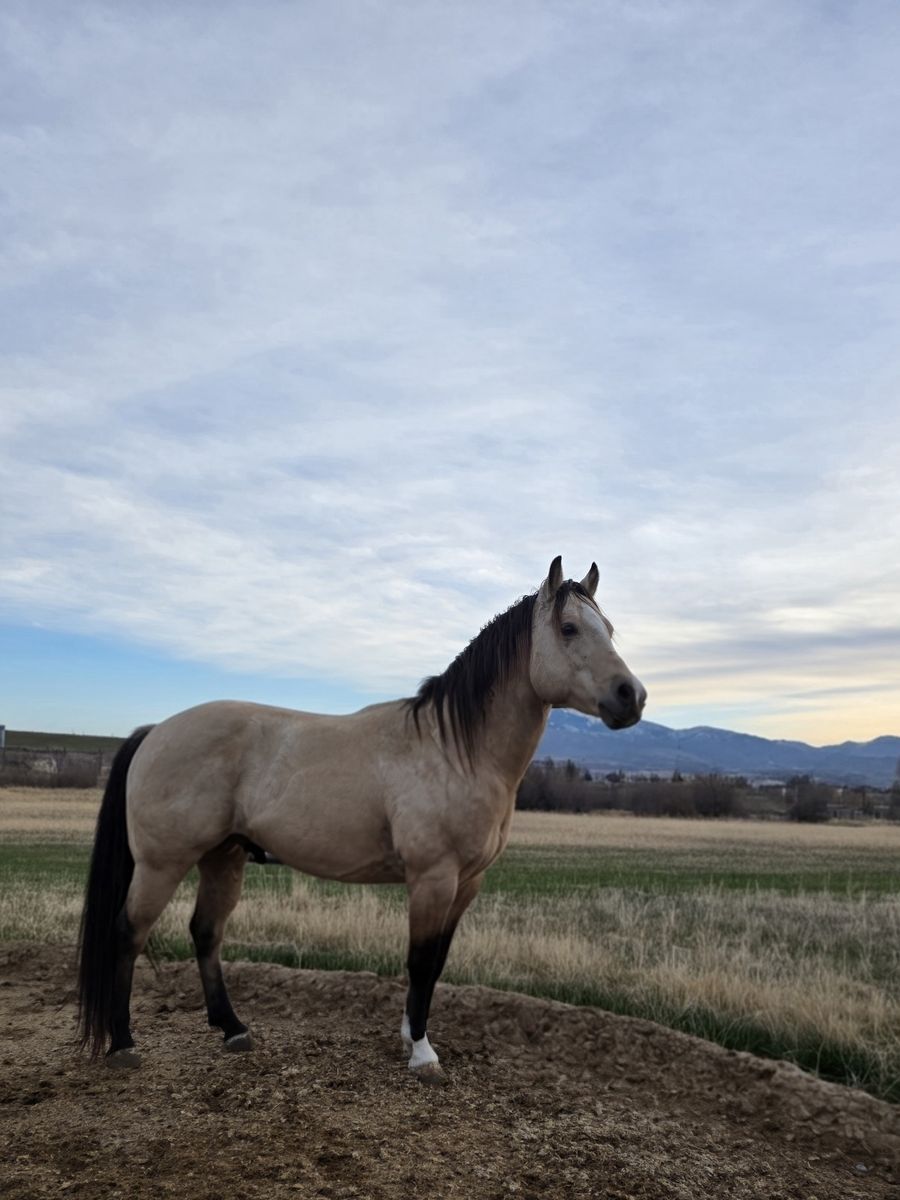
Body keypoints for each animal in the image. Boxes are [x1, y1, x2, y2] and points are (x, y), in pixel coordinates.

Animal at [76, 556, 646, 1081]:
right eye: (569, 628)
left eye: (610, 628)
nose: (632, 696)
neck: (454, 751)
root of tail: (154, 731)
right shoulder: (432, 877)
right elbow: (419, 961)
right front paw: (422, 1054)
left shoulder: (466, 883)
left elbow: (436, 964)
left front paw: (409, 1036)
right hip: (162, 864)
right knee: (128, 933)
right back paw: (124, 1044)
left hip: (223, 858)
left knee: (205, 933)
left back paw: (233, 1030)